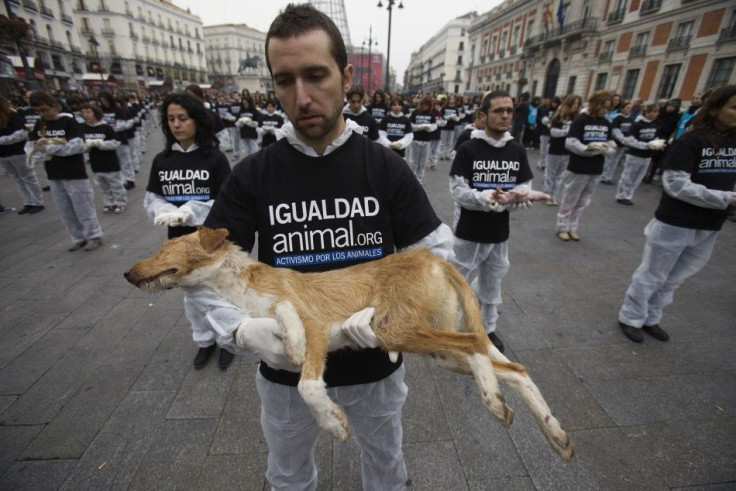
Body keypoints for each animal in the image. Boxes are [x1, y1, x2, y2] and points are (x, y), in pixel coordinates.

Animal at [125, 228, 576, 462]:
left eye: (164, 248)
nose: (127, 274)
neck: (241, 284)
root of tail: (431, 258)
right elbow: (281, 332)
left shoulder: (316, 326)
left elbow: (307, 380)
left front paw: (333, 422)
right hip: (436, 349)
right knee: (511, 367)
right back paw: (552, 431)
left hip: (398, 329)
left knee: (474, 342)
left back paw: (492, 398)